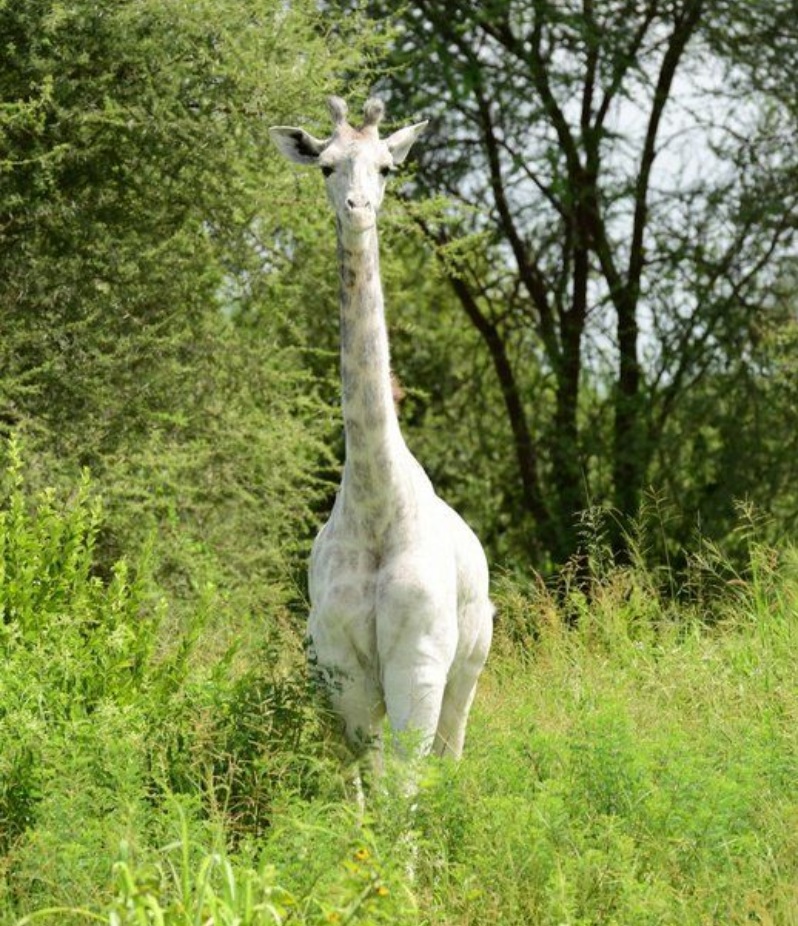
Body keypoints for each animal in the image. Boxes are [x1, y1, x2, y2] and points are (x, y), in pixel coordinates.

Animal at [272, 98, 490, 772]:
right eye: (326, 166)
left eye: (388, 168)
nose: (358, 209)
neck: (375, 502)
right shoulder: (342, 668)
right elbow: (364, 775)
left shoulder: (418, 663)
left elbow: (408, 782)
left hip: (467, 669)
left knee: (450, 756)